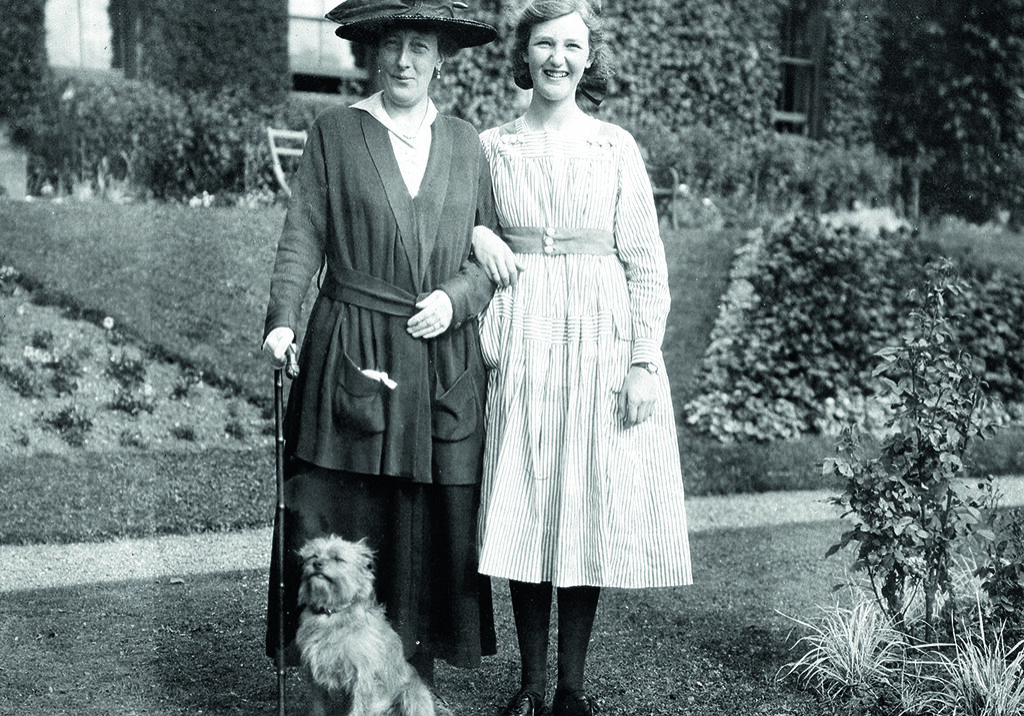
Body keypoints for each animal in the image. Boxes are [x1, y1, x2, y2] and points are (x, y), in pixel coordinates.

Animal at [299, 536, 438, 716]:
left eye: (338, 559)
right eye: (313, 556)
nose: (317, 564)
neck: (332, 613)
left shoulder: (363, 677)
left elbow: (360, 707)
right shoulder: (316, 675)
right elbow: (317, 706)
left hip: (411, 694)